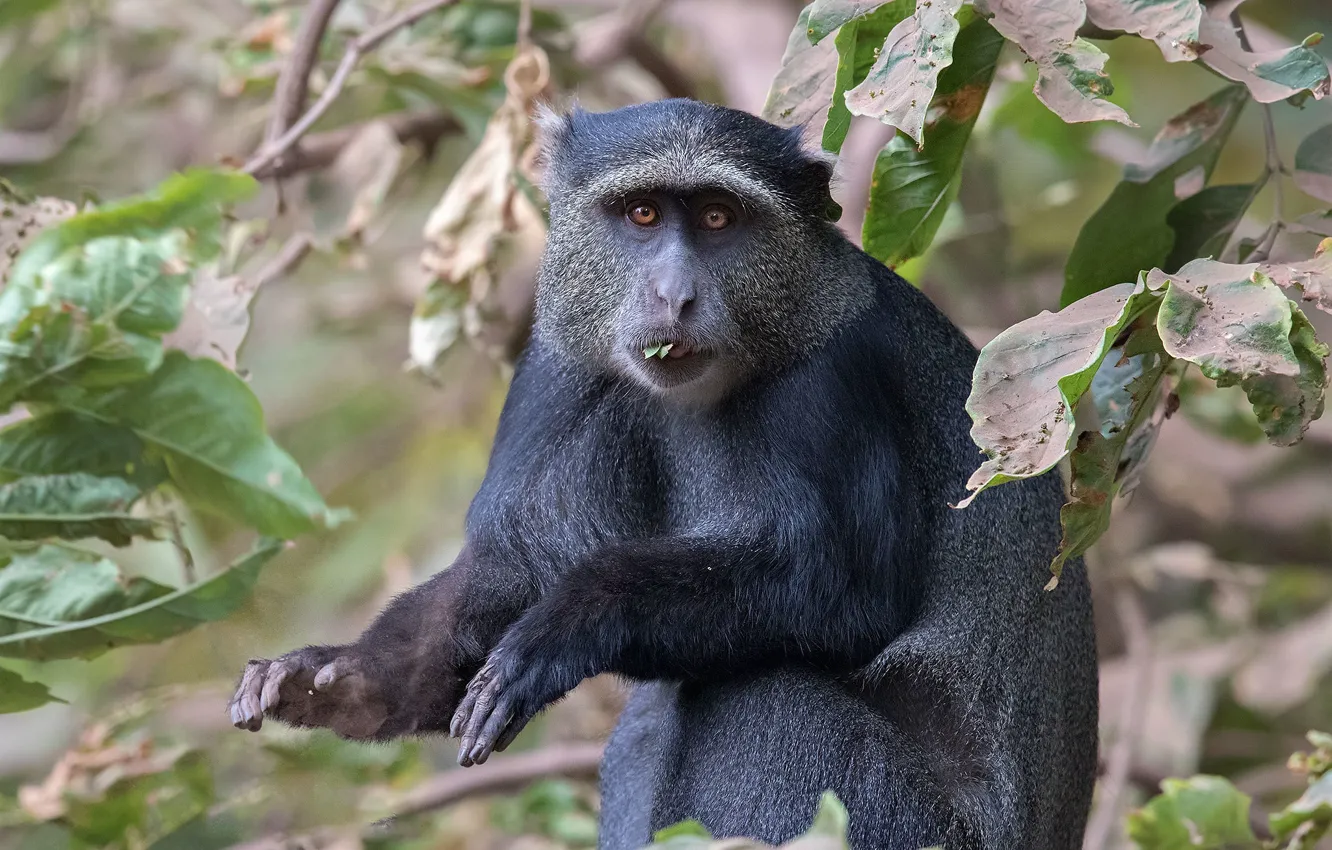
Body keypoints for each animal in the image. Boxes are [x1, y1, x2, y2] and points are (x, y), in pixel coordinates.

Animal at [228, 98, 1098, 850]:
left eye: (717, 218)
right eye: (642, 215)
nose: (674, 296)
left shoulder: (833, 378)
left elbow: (841, 590)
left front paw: (570, 620)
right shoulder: (562, 368)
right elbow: (503, 569)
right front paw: (344, 678)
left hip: (912, 826)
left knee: (768, 695)